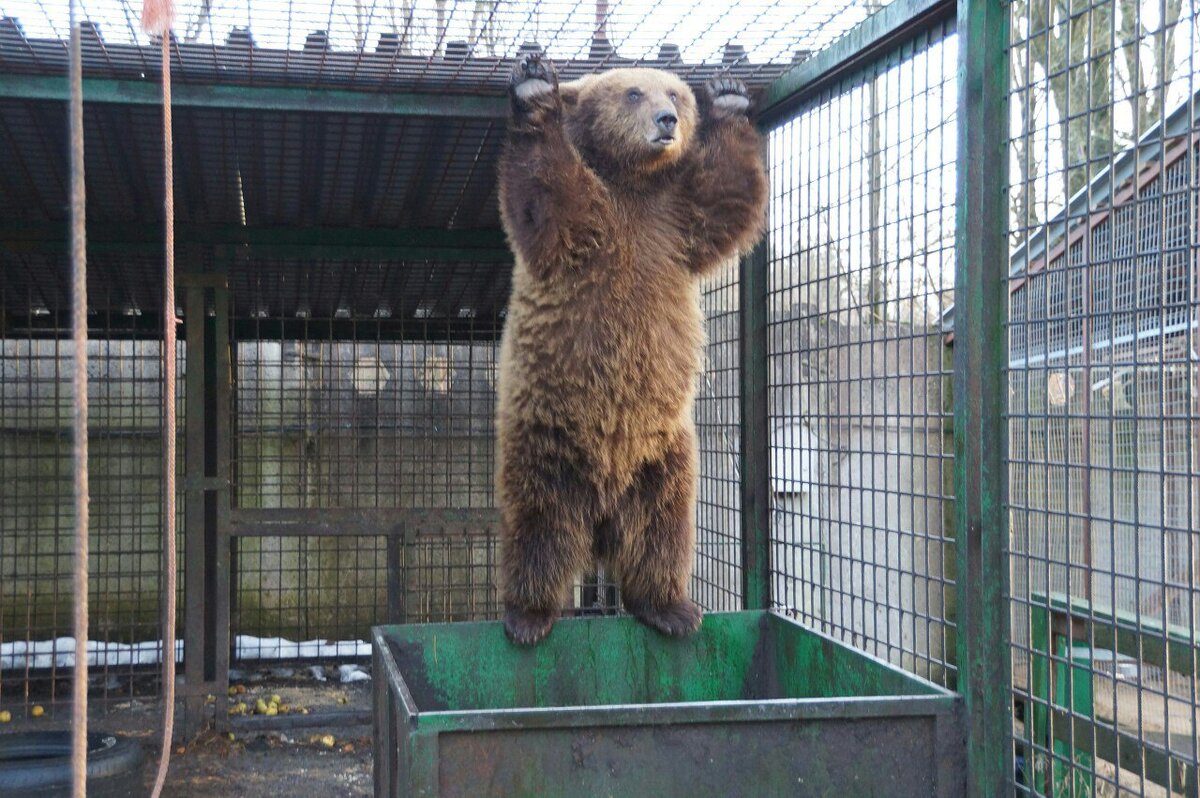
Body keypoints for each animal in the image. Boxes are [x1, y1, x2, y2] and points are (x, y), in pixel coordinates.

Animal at [496, 52, 768, 643]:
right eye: (633, 93)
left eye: (676, 93)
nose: (668, 120)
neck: (631, 184)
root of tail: (601, 519)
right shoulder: (588, 230)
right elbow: (545, 200)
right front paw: (534, 89)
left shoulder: (674, 225)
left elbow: (726, 198)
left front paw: (729, 95)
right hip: (547, 440)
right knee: (540, 525)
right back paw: (528, 614)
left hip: (664, 452)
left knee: (661, 528)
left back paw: (671, 606)